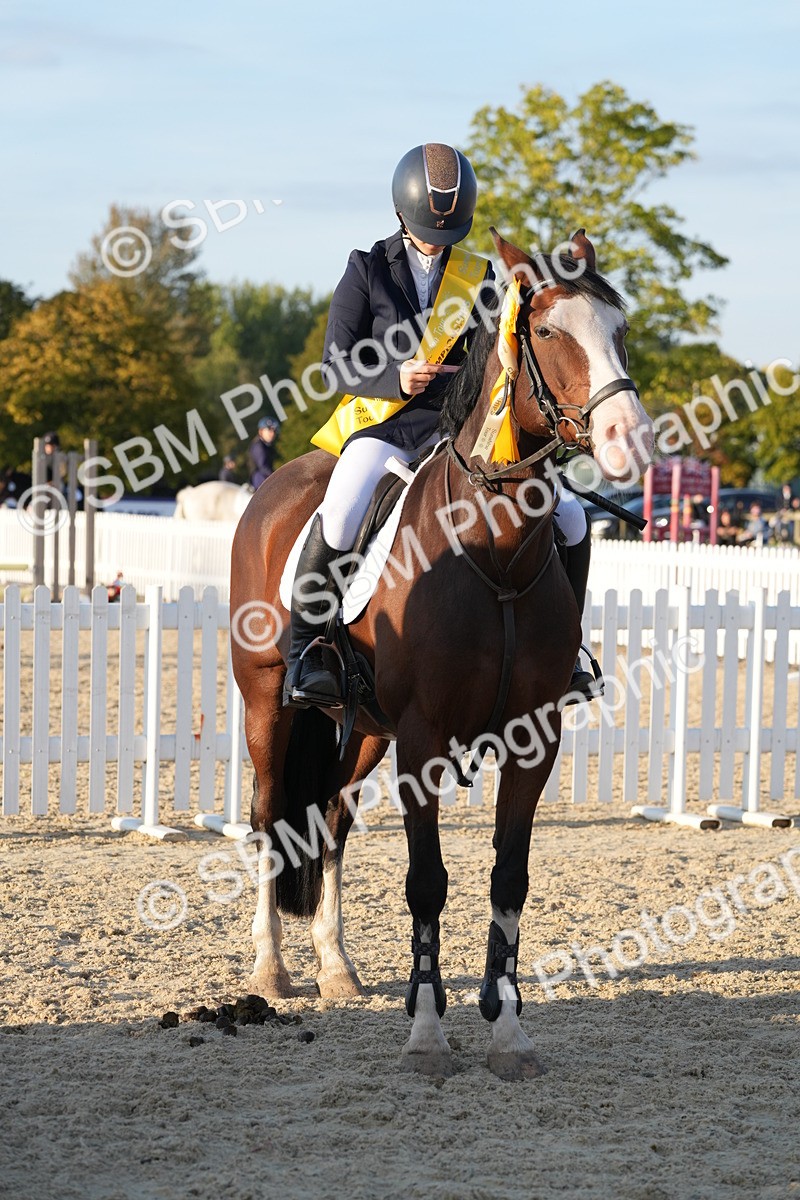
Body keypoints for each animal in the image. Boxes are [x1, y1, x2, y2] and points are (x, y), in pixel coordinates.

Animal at [230, 229, 653, 1079]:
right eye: (548, 331)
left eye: (619, 330)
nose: (630, 439)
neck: (492, 547)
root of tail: (278, 484)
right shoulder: (423, 740)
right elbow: (427, 881)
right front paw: (427, 1031)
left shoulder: (533, 739)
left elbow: (509, 876)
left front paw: (508, 1029)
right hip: (267, 704)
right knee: (268, 815)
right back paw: (272, 968)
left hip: (364, 729)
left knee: (330, 817)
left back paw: (336, 967)